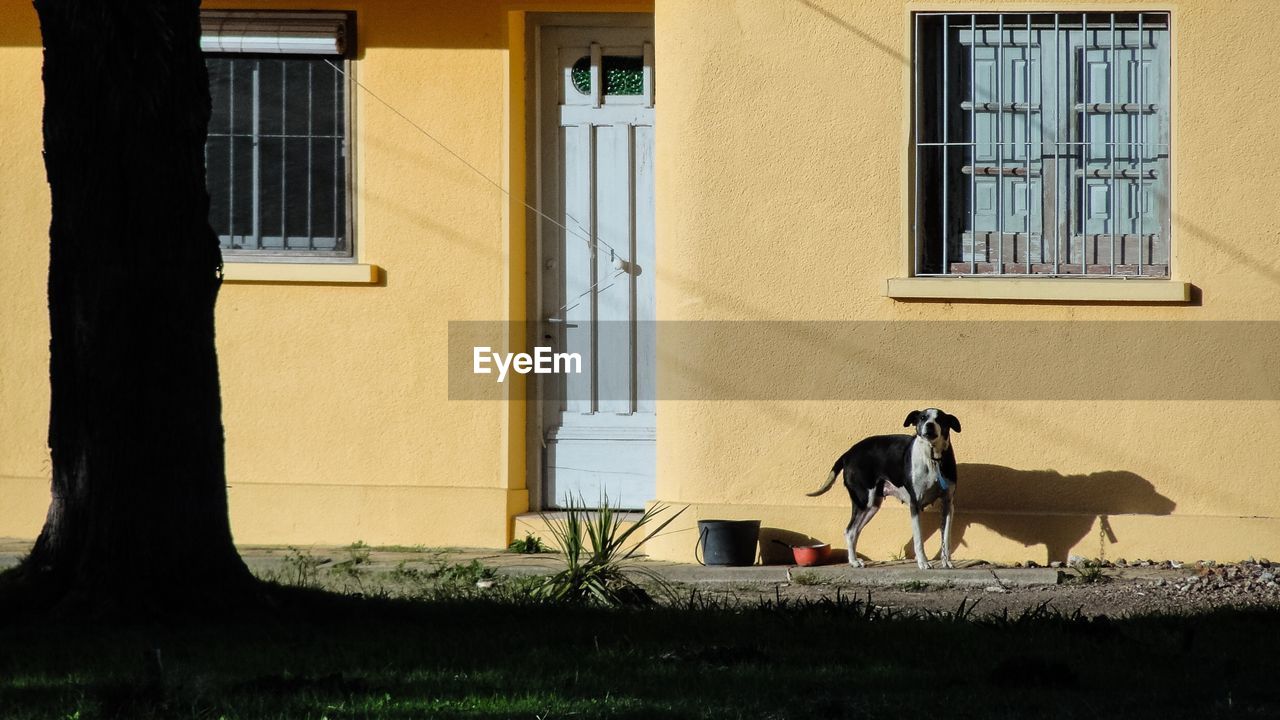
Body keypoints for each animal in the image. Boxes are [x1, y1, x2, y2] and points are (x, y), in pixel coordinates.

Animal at [808, 409, 962, 566]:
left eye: (940, 419)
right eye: (923, 418)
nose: (929, 425)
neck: (932, 458)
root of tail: (848, 454)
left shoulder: (948, 505)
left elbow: (946, 539)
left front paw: (947, 562)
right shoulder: (915, 504)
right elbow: (919, 540)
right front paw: (923, 563)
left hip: (872, 505)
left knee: (855, 531)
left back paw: (855, 559)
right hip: (863, 500)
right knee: (849, 531)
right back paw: (853, 561)